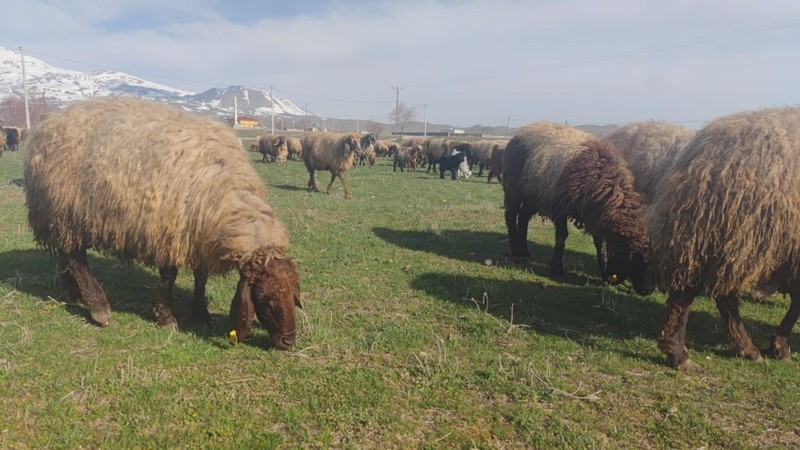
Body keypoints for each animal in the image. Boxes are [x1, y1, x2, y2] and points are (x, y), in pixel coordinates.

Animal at [25, 97, 302, 352]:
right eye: (263, 298)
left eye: (293, 293)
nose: (288, 341)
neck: (224, 194)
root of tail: (51, 121)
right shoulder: (170, 233)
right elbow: (169, 277)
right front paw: (167, 317)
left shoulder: (198, 238)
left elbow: (200, 277)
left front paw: (200, 314)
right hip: (63, 211)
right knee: (77, 260)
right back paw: (99, 308)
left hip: (62, 220)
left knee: (67, 255)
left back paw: (73, 293)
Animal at [504, 120, 652, 296]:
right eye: (636, 258)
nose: (648, 290)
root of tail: (524, 129)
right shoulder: (560, 207)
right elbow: (561, 237)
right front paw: (557, 270)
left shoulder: (595, 216)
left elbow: (600, 244)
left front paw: (603, 271)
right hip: (514, 186)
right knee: (511, 215)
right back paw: (515, 249)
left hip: (533, 193)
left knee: (523, 216)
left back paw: (523, 250)